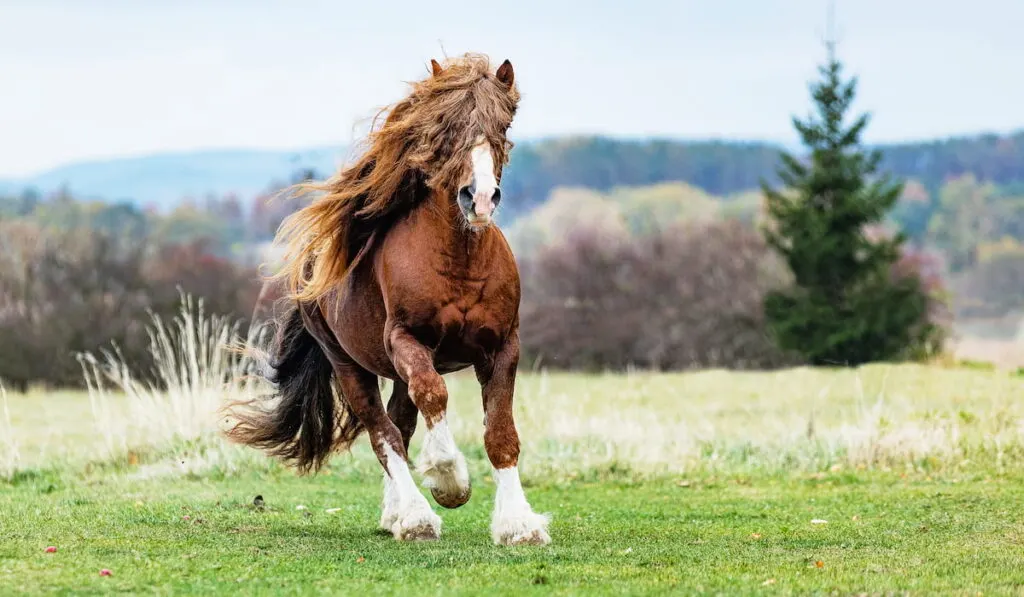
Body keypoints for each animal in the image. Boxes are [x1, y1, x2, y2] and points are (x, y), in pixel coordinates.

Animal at [226, 54, 552, 544]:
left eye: (503, 124)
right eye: (445, 127)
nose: (478, 199)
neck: (459, 260)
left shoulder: (502, 347)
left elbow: (500, 432)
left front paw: (519, 524)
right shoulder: (406, 340)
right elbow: (433, 396)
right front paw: (449, 481)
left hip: (395, 369)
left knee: (400, 422)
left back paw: (395, 514)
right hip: (349, 365)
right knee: (384, 434)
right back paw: (416, 518)